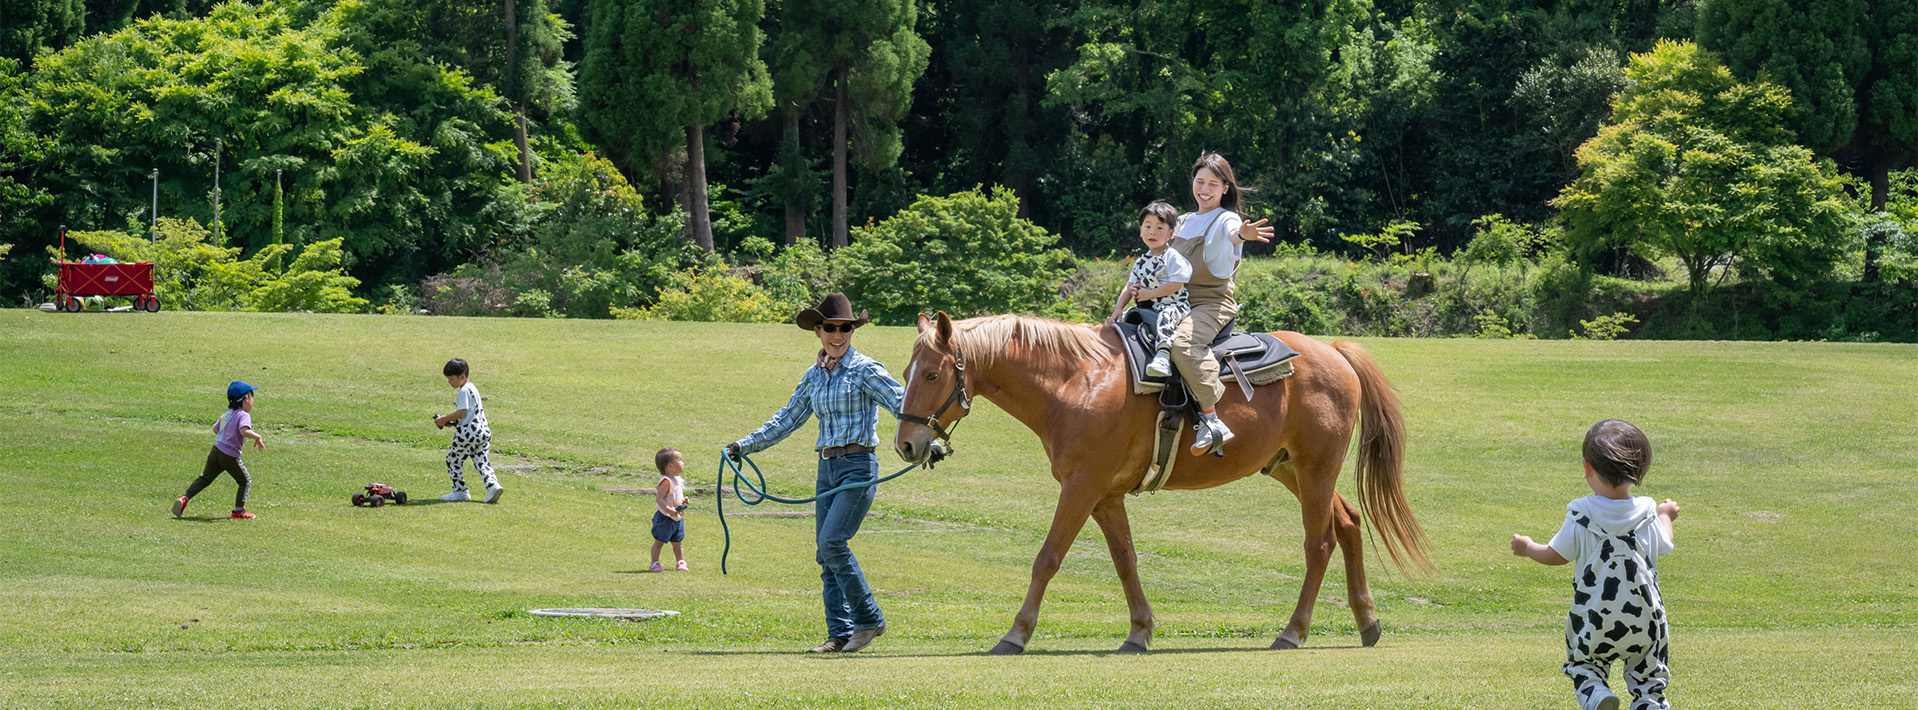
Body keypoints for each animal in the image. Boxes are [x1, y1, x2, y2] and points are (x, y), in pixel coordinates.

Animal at [893, 310, 1426, 656]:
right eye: (906, 370)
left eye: (932, 374)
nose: (907, 445)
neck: (1076, 382)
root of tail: (1333, 350)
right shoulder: (1105, 495)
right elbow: (1126, 562)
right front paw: (1139, 631)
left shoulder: (1081, 487)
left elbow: (1047, 559)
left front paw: (1016, 634)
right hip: (1291, 469)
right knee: (1350, 524)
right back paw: (1367, 620)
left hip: (1316, 470)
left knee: (1320, 544)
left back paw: (1293, 631)